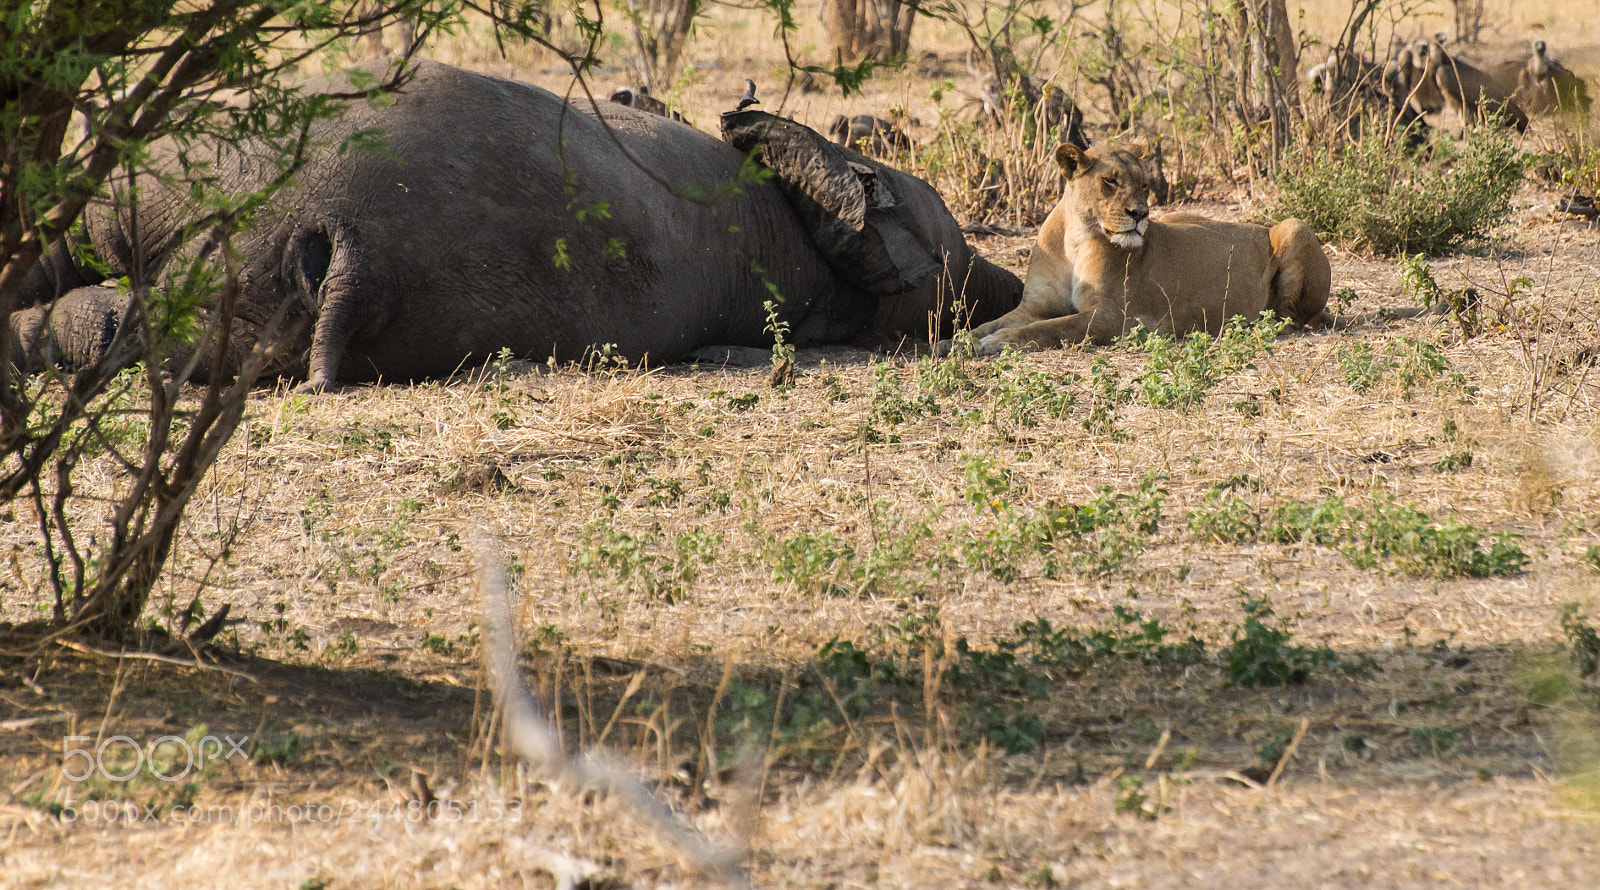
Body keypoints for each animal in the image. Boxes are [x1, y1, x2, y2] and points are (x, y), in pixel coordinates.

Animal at [939, 141, 1337, 356]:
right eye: (1110, 182)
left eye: (1145, 185)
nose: (1141, 214)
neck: (1075, 239)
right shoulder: (1034, 305)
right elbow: (990, 323)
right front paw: (954, 342)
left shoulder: (1111, 317)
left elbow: (1049, 329)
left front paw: (997, 342)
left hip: (1294, 226)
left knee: (1292, 317)